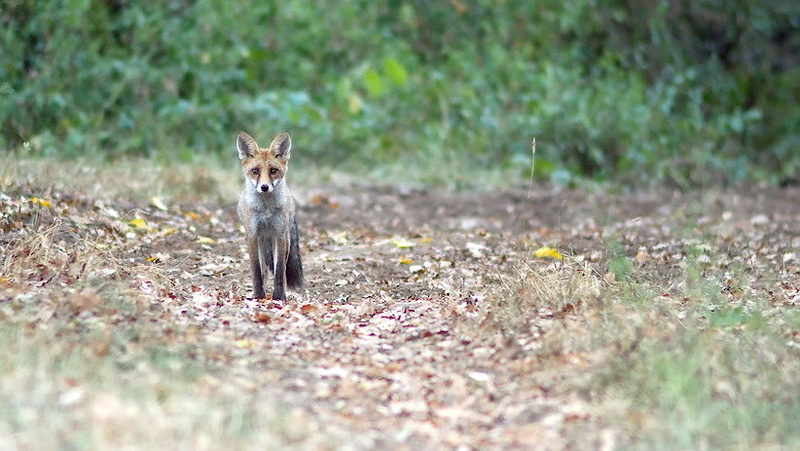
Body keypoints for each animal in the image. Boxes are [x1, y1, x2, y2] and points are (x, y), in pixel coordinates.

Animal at [236, 130, 304, 300]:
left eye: (273, 171)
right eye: (255, 171)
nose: (264, 187)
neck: (266, 210)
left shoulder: (280, 235)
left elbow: (279, 271)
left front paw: (279, 297)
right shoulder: (252, 235)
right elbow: (256, 270)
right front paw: (258, 296)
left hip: (283, 239)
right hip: (262, 240)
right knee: (264, 270)